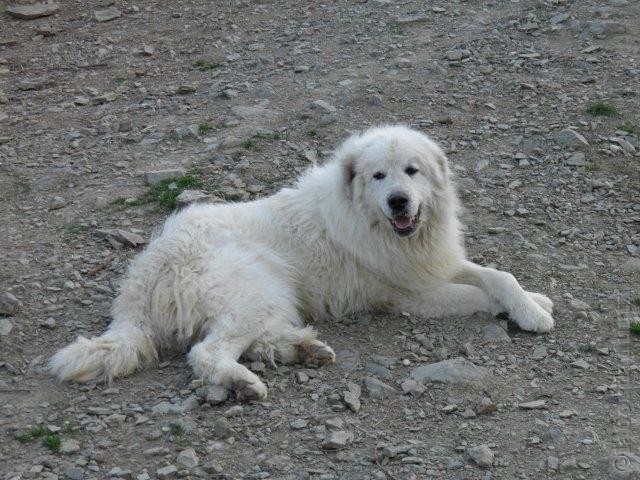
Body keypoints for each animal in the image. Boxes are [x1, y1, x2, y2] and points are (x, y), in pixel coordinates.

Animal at [50, 125, 552, 400]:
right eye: (378, 176)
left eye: (412, 171)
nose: (398, 201)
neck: (373, 223)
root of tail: (143, 275)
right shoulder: (413, 294)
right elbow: (478, 293)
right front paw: (523, 311)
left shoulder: (436, 262)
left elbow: (498, 275)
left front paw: (532, 301)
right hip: (257, 287)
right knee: (207, 352)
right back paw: (244, 384)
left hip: (270, 297)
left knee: (253, 341)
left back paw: (303, 349)